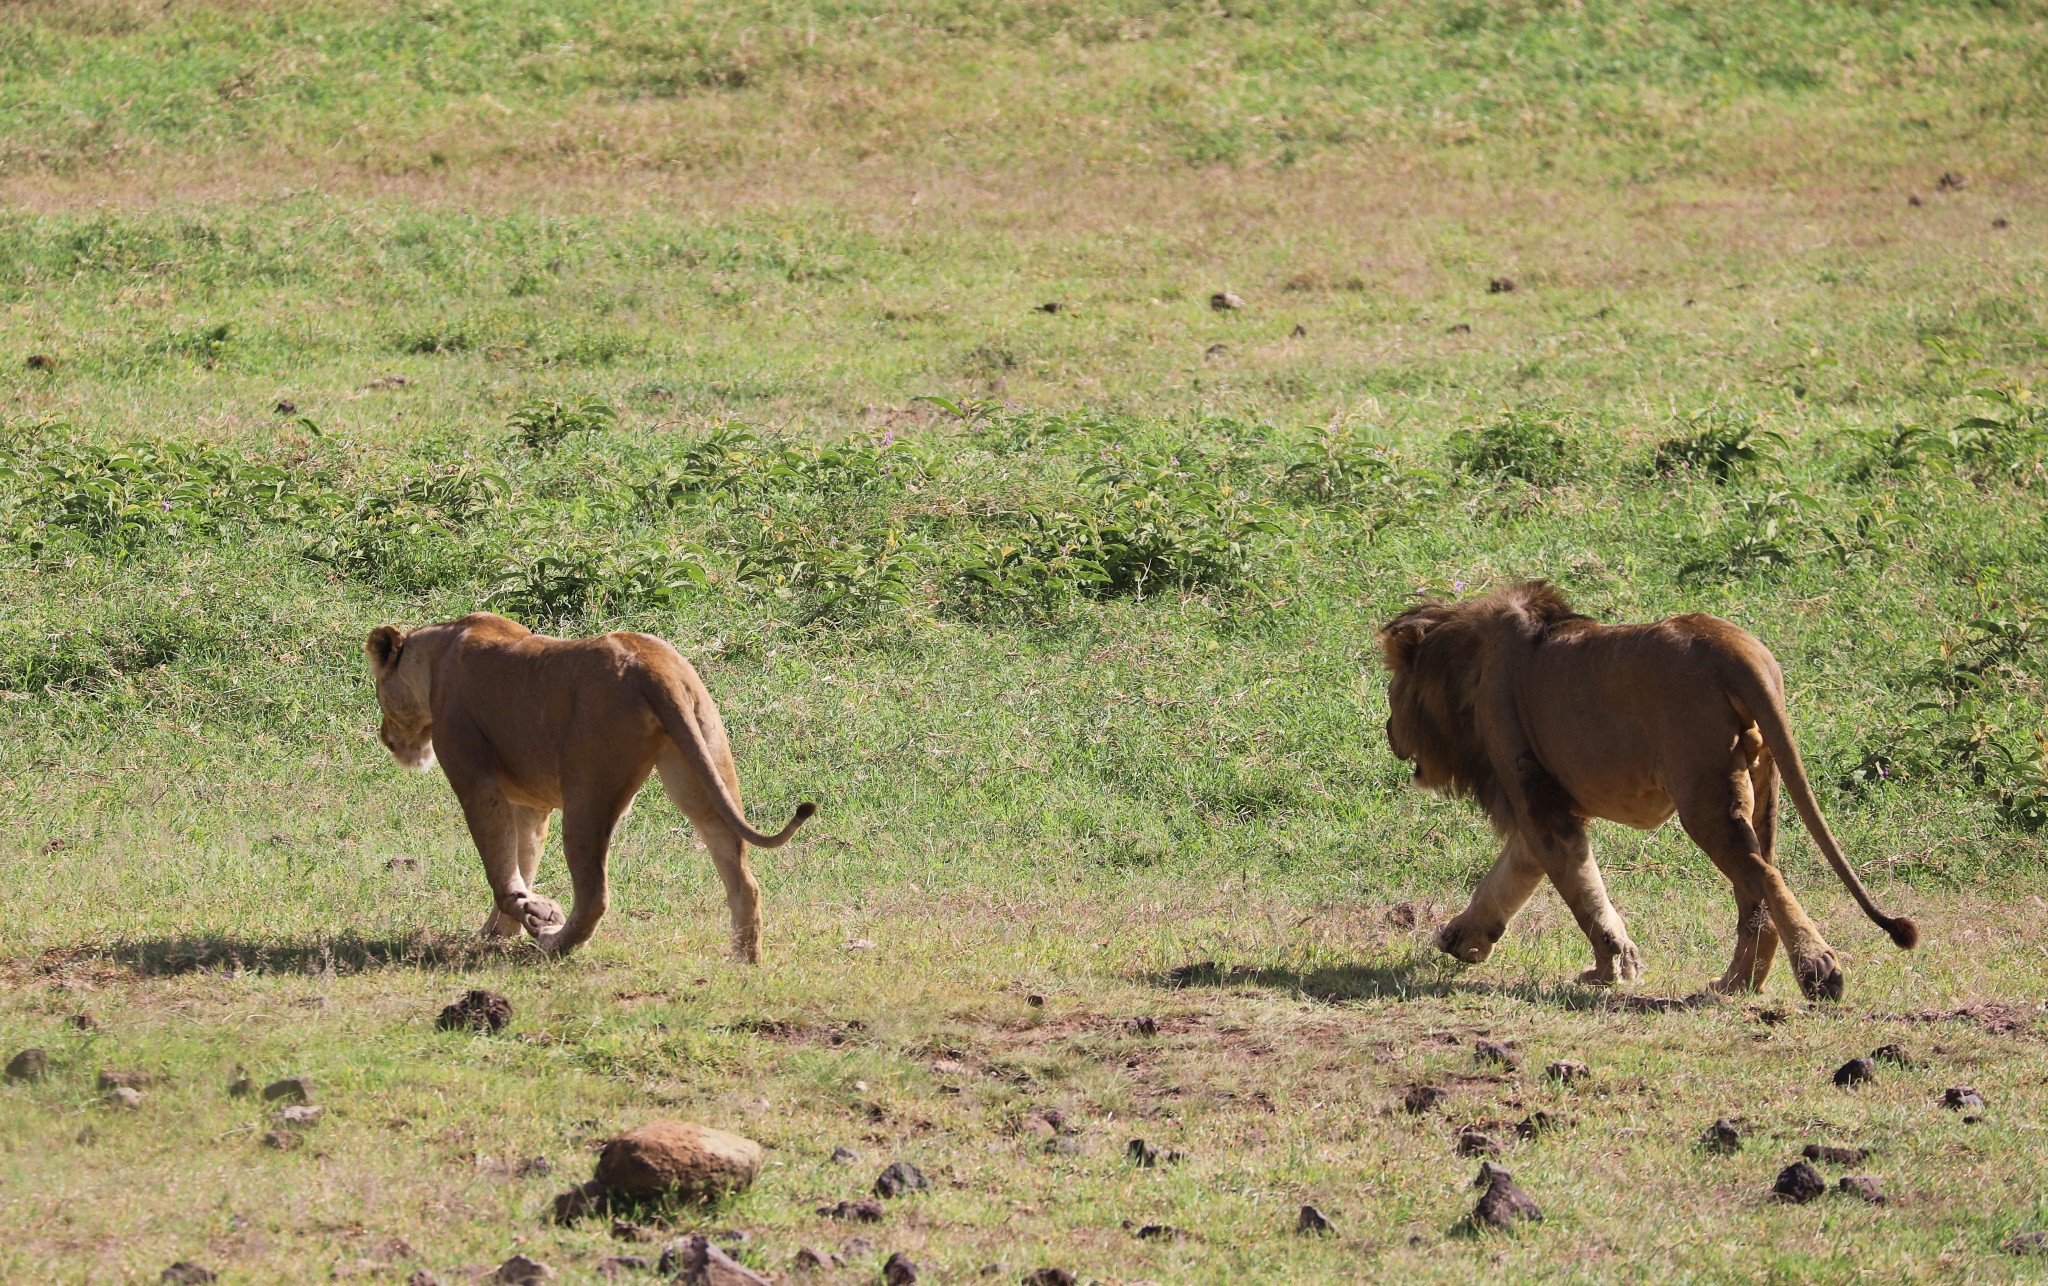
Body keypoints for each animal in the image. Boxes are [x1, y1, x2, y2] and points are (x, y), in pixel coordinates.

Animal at [364, 614, 811, 966]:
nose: (385, 738)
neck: (437, 652)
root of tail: (652, 665)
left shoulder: (476, 781)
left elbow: (500, 870)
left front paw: (535, 914)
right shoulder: (529, 805)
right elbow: (521, 861)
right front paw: (500, 929)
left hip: (588, 793)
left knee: (594, 895)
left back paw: (553, 943)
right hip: (704, 772)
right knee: (742, 878)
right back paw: (743, 962)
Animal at [1376, 585, 1916, 1003]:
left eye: (1393, 690)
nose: (1387, 732)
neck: (1467, 665)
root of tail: (1734, 647)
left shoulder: (1534, 794)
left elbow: (1582, 891)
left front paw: (1610, 969)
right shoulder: (1543, 800)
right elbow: (1512, 875)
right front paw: (1462, 938)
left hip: (1704, 796)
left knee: (1764, 876)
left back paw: (1819, 973)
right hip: (1762, 785)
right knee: (1754, 892)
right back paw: (1736, 985)